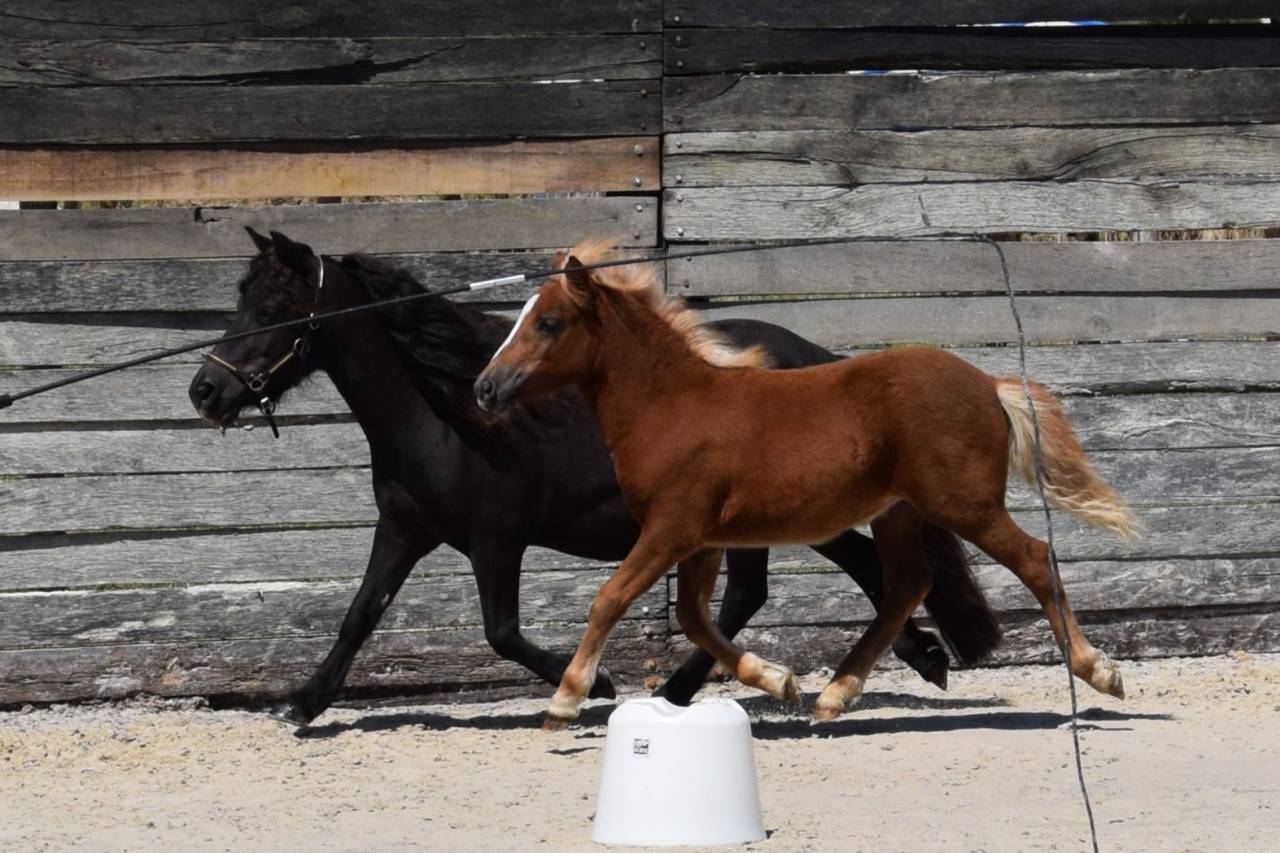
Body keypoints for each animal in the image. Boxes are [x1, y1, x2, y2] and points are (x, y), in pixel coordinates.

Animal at [187, 229, 1001, 725]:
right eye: (240, 299)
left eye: (277, 306)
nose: (205, 390)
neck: (445, 414)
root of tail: (821, 356)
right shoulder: (405, 529)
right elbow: (359, 615)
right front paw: (304, 703)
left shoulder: (495, 540)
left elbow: (502, 633)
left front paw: (595, 684)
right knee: (843, 568)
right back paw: (915, 659)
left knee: (772, 587)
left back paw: (690, 688)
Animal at [475, 241, 1138, 727]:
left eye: (549, 323)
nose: (485, 388)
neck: (672, 405)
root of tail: (990, 384)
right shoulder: (702, 540)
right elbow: (693, 617)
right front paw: (780, 680)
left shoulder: (671, 529)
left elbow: (610, 599)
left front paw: (566, 699)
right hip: (897, 511)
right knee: (905, 585)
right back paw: (835, 694)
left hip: (965, 505)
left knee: (1034, 557)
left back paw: (1098, 670)